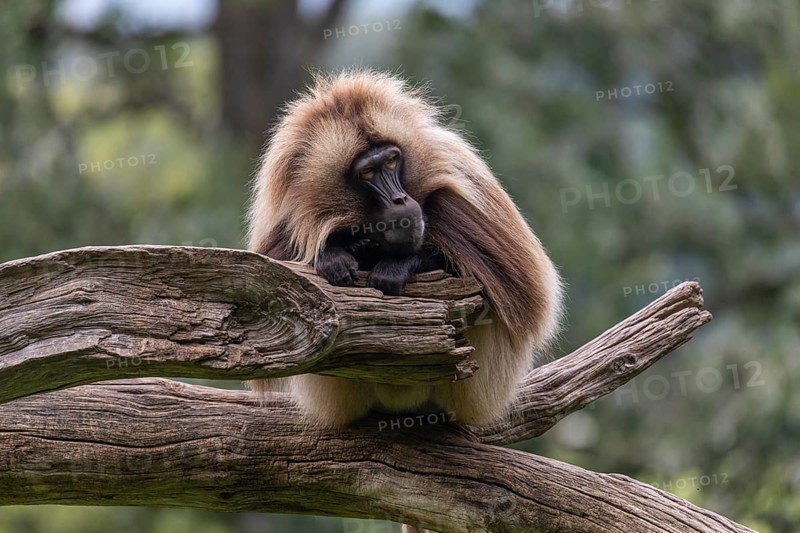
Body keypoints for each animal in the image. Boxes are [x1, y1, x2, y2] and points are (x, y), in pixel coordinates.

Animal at [246, 69, 563, 428]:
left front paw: (395, 263)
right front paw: (337, 254)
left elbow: (519, 296)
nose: (400, 200)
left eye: (392, 161)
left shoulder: (461, 172)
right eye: (368, 172)